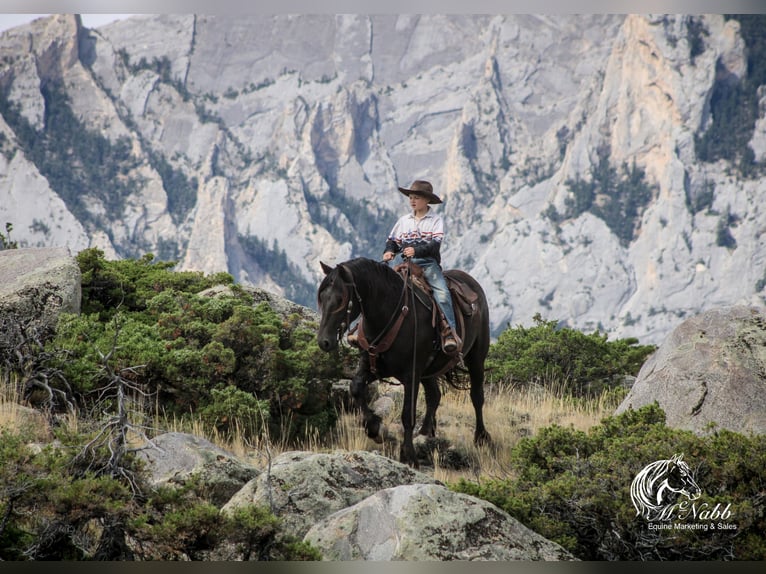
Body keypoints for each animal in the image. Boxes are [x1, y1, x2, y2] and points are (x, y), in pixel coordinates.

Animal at [316, 258, 492, 470]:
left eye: (341, 298)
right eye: (321, 298)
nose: (324, 342)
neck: (388, 315)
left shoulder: (411, 375)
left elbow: (407, 415)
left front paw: (408, 456)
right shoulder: (373, 367)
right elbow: (356, 388)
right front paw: (375, 429)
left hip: (476, 357)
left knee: (477, 397)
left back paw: (481, 438)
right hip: (429, 371)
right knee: (434, 396)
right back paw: (424, 434)